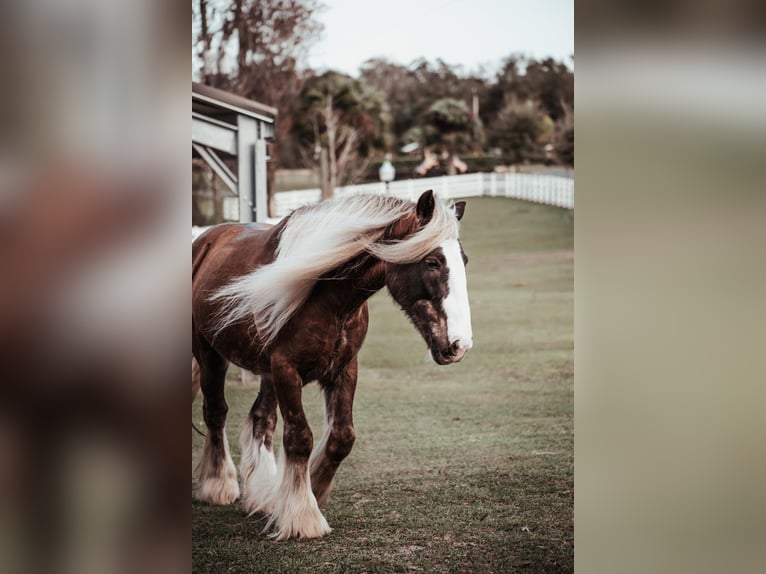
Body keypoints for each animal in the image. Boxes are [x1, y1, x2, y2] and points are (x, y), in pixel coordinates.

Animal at [192, 191, 474, 544]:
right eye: (432, 262)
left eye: (464, 260)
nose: (460, 344)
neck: (326, 297)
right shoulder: (286, 370)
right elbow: (300, 438)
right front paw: (303, 516)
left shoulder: (344, 368)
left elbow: (342, 437)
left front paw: (312, 489)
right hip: (210, 356)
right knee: (216, 413)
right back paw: (218, 485)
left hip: (265, 374)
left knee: (261, 420)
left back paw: (264, 495)